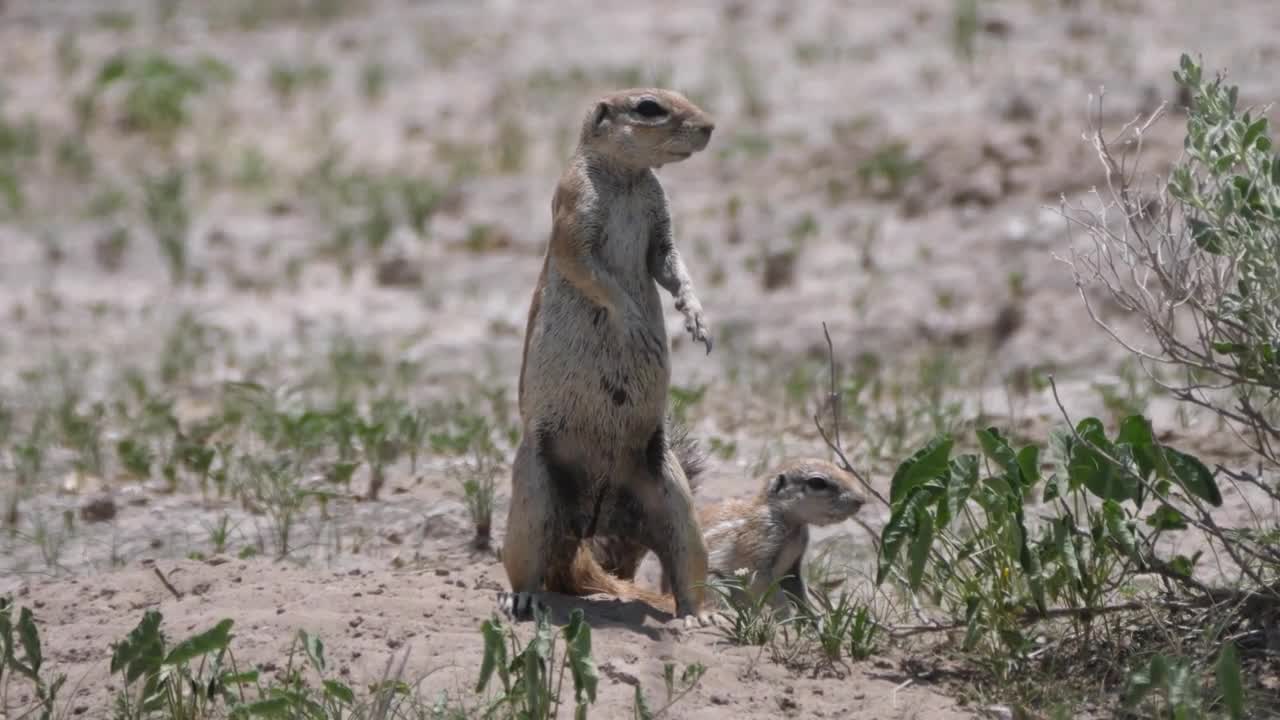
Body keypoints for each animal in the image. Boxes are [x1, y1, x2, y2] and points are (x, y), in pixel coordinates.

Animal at [499, 87, 721, 625]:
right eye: (649, 107)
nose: (710, 127)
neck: (628, 179)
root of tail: (588, 525)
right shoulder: (574, 207)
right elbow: (590, 270)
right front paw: (636, 322)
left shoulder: (660, 220)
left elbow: (670, 263)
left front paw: (697, 318)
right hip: (532, 500)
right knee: (524, 566)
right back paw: (522, 598)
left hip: (676, 502)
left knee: (686, 567)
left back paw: (698, 613)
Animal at [665, 456, 865, 614]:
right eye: (817, 482)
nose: (861, 499)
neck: (790, 523)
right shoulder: (759, 548)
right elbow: (771, 591)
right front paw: (788, 620)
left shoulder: (793, 567)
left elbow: (799, 593)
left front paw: (813, 621)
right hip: (711, 583)